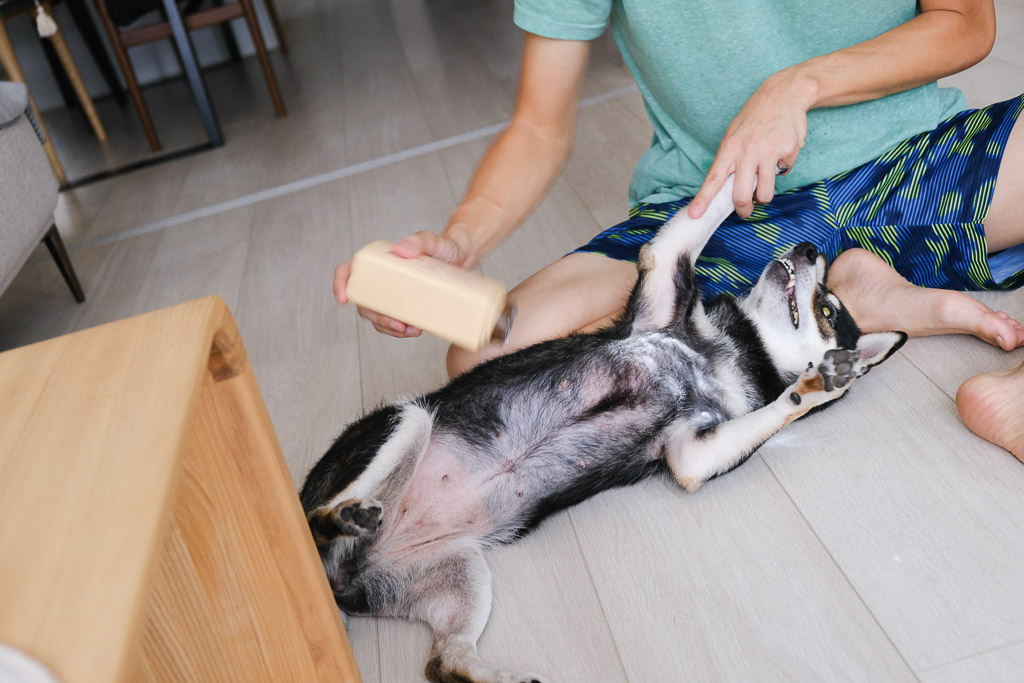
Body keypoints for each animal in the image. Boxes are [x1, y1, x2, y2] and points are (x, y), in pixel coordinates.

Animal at [299, 178, 909, 683]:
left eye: (828, 310)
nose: (810, 250)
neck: (732, 350)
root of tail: (338, 579)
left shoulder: (690, 455)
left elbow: (778, 408)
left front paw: (820, 384)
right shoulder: (665, 269)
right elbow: (710, 204)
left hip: (461, 573)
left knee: (444, 663)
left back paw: (502, 677)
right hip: (409, 420)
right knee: (317, 519)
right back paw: (341, 514)